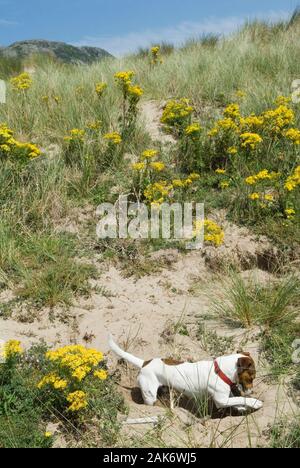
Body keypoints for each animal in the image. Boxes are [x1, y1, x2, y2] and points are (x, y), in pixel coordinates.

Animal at [109, 334, 262, 412]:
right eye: (251, 378)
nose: (252, 391)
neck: (220, 371)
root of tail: (145, 363)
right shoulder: (221, 400)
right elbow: (240, 399)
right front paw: (255, 402)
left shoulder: (226, 398)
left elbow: (237, 400)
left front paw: (243, 407)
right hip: (149, 394)